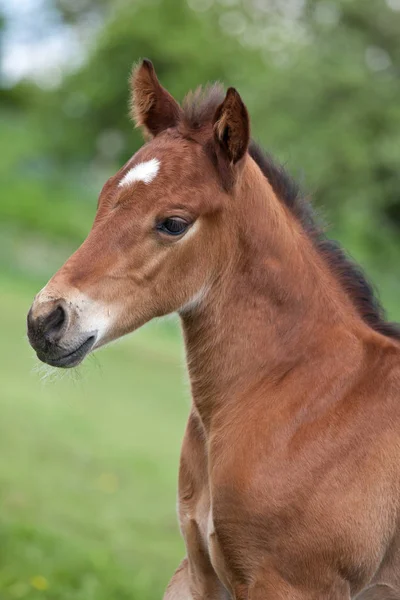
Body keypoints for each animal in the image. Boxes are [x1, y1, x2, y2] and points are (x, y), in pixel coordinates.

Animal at [26, 62, 400, 600]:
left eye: (174, 223)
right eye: (104, 196)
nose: (45, 321)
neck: (308, 396)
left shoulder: (294, 585)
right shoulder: (199, 571)